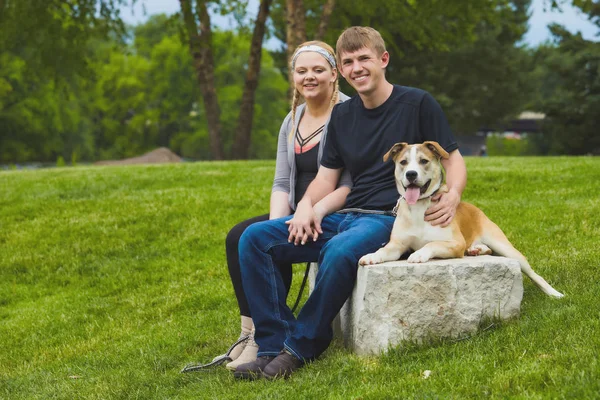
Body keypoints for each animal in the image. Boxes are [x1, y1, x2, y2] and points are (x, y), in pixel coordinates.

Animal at [360, 141, 564, 296]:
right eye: (403, 162)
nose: (411, 174)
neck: (419, 206)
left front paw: (418, 254)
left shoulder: (455, 243)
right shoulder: (397, 245)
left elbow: (432, 243)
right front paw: (371, 256)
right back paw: (476, 249)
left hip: (506, 247)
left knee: (532, 273)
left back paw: (554, 293)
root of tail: (475, 208)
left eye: (423, 161)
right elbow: (384, 250)